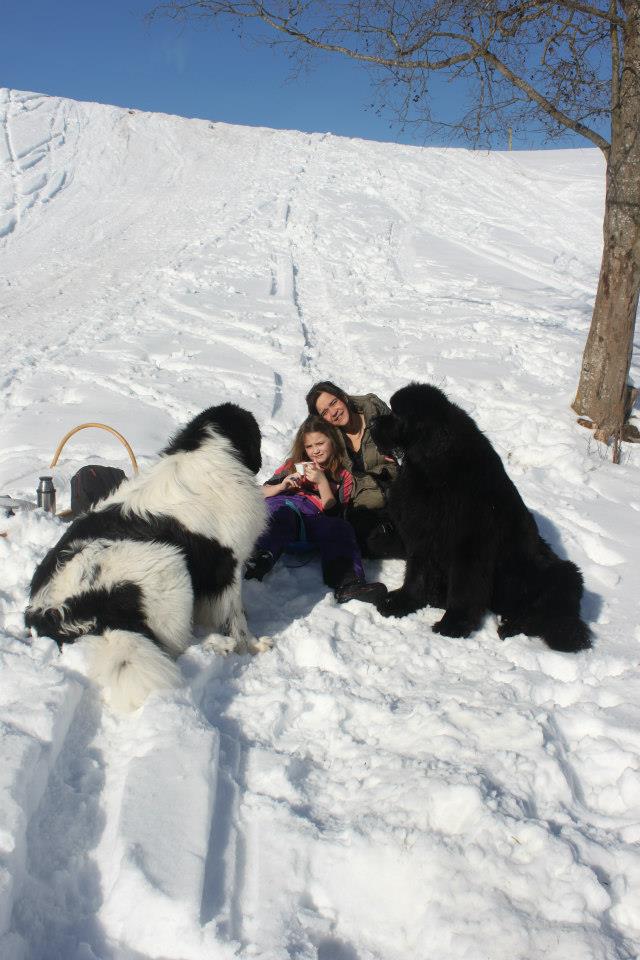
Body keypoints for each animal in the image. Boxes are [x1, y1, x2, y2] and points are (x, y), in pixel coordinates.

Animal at [25, 403, 269, 711]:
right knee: (176, 646)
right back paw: (218, 646)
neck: (207, 447)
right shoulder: (227, 564)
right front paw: (251, 645)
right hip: (168, 564)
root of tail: (53, 612)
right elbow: (235, 615)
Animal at [370, 383, 591, 652]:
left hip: (561, 574)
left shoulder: (471, 547)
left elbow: (463, 589)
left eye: (396, 415)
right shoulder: (422, 535)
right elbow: (416, 575)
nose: (371, 422)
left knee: (546, 618)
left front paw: (453, 625)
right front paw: (402, 603)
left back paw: (511, 627)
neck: (434, 474)